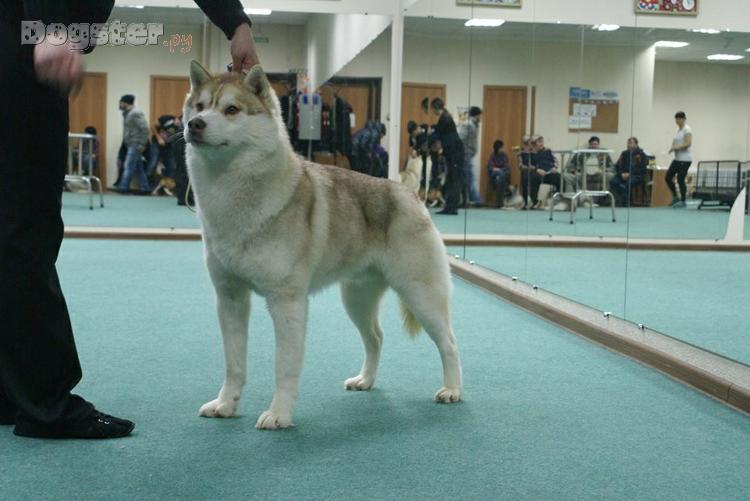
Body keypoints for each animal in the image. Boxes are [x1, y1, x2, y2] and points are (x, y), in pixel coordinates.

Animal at [183, 61, 462, 430]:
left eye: (231, 110)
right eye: (200, 106)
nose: (194, 125)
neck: (233, 195)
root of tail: (410, 195)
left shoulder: (286, 302)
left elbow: (284, 367)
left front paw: (279, 414)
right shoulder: (230, 299)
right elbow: (234, 363)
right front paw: (225, 405)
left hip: (421, 296)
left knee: (449, 343)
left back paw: (452, 390)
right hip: (356, 298)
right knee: (376, 337)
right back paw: (365, 380)